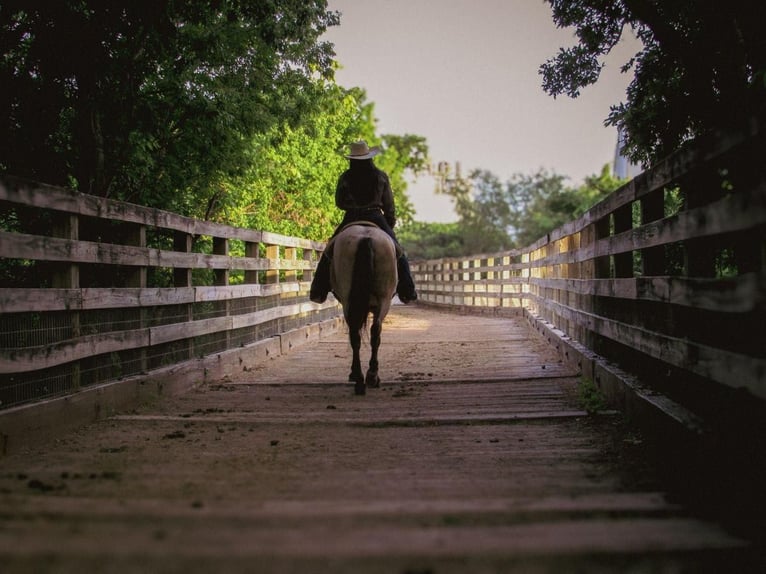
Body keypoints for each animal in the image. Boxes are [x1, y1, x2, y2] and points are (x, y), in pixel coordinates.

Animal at [328, 224, 400, 396]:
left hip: (351, 302)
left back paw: (361, 378)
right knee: (373, 332)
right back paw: (369, 377)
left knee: (358, 334)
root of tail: (366, 237)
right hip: (383, 300)